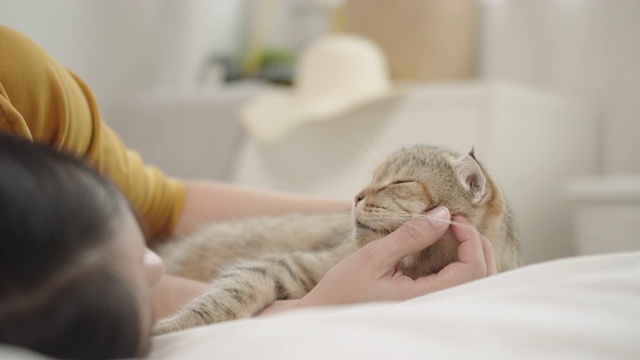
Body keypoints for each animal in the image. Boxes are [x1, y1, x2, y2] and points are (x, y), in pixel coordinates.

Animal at [151, 144, 520, 334]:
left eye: (398, 182)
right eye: (372, 179)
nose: (355, 196)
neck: (422, 263)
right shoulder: (283, 265)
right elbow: (225, 299)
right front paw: (174, 329)